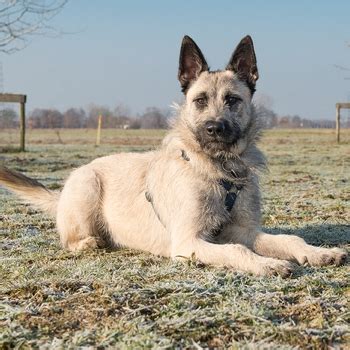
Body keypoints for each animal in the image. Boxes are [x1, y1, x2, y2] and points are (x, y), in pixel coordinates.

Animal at [0, 35, 346, 276]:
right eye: (200, 100)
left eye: (232, 100)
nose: (214, 129)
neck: (219, 169)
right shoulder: (189, 242)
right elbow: (237, 250)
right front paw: (267, 264)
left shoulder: (241, 229)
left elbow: (288, 239)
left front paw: (317, 252)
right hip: (87, 186)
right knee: (71, 239)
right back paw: (90, 241)